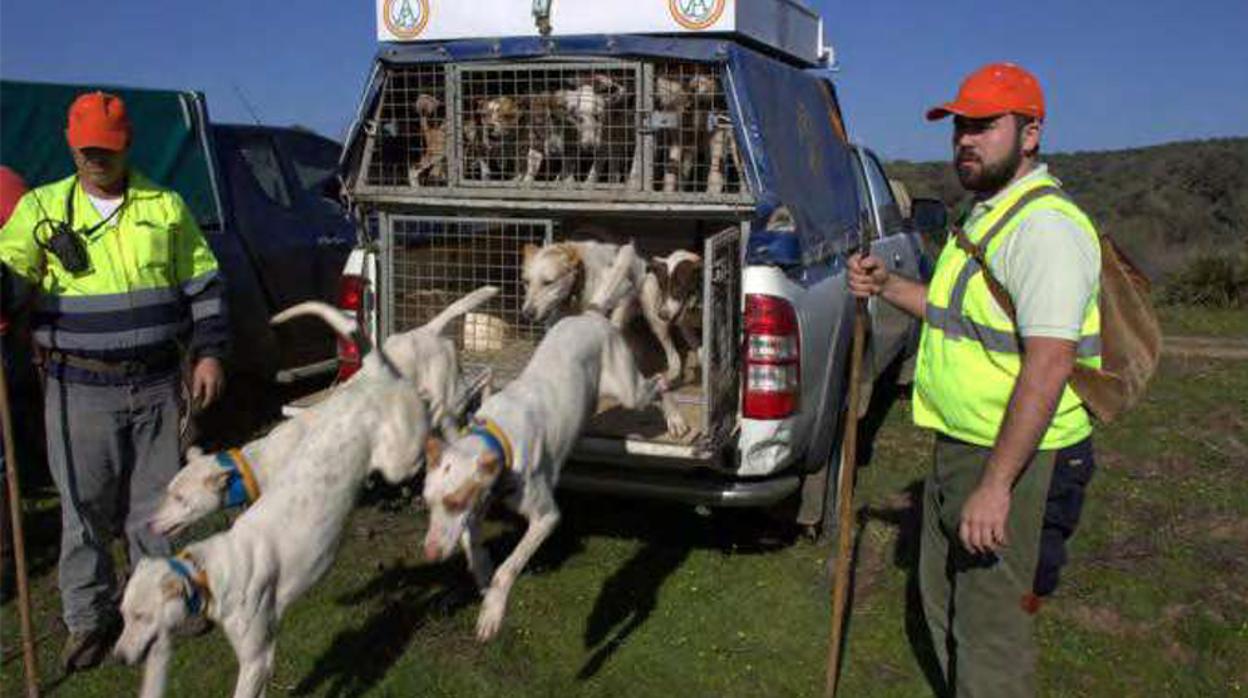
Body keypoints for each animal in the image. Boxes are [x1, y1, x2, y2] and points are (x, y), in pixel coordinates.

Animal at [146, 287, 496, 536]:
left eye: (180, 499)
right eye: (169, 493)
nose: (150, 524)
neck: (259, 460)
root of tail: (430, 329)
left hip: (438, 412)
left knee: (468, 396)